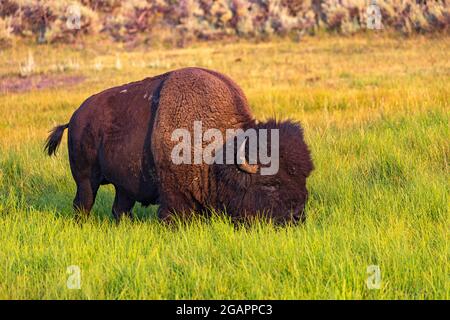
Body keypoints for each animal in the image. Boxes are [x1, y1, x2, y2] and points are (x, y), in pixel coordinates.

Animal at [45, 67, 312, 222]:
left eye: (304, 178)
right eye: (270, 183)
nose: (298, 216)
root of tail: (75, 117)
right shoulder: (174, 193)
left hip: (123, 186)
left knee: (120, 207)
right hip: (85, 178)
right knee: (83, 203)